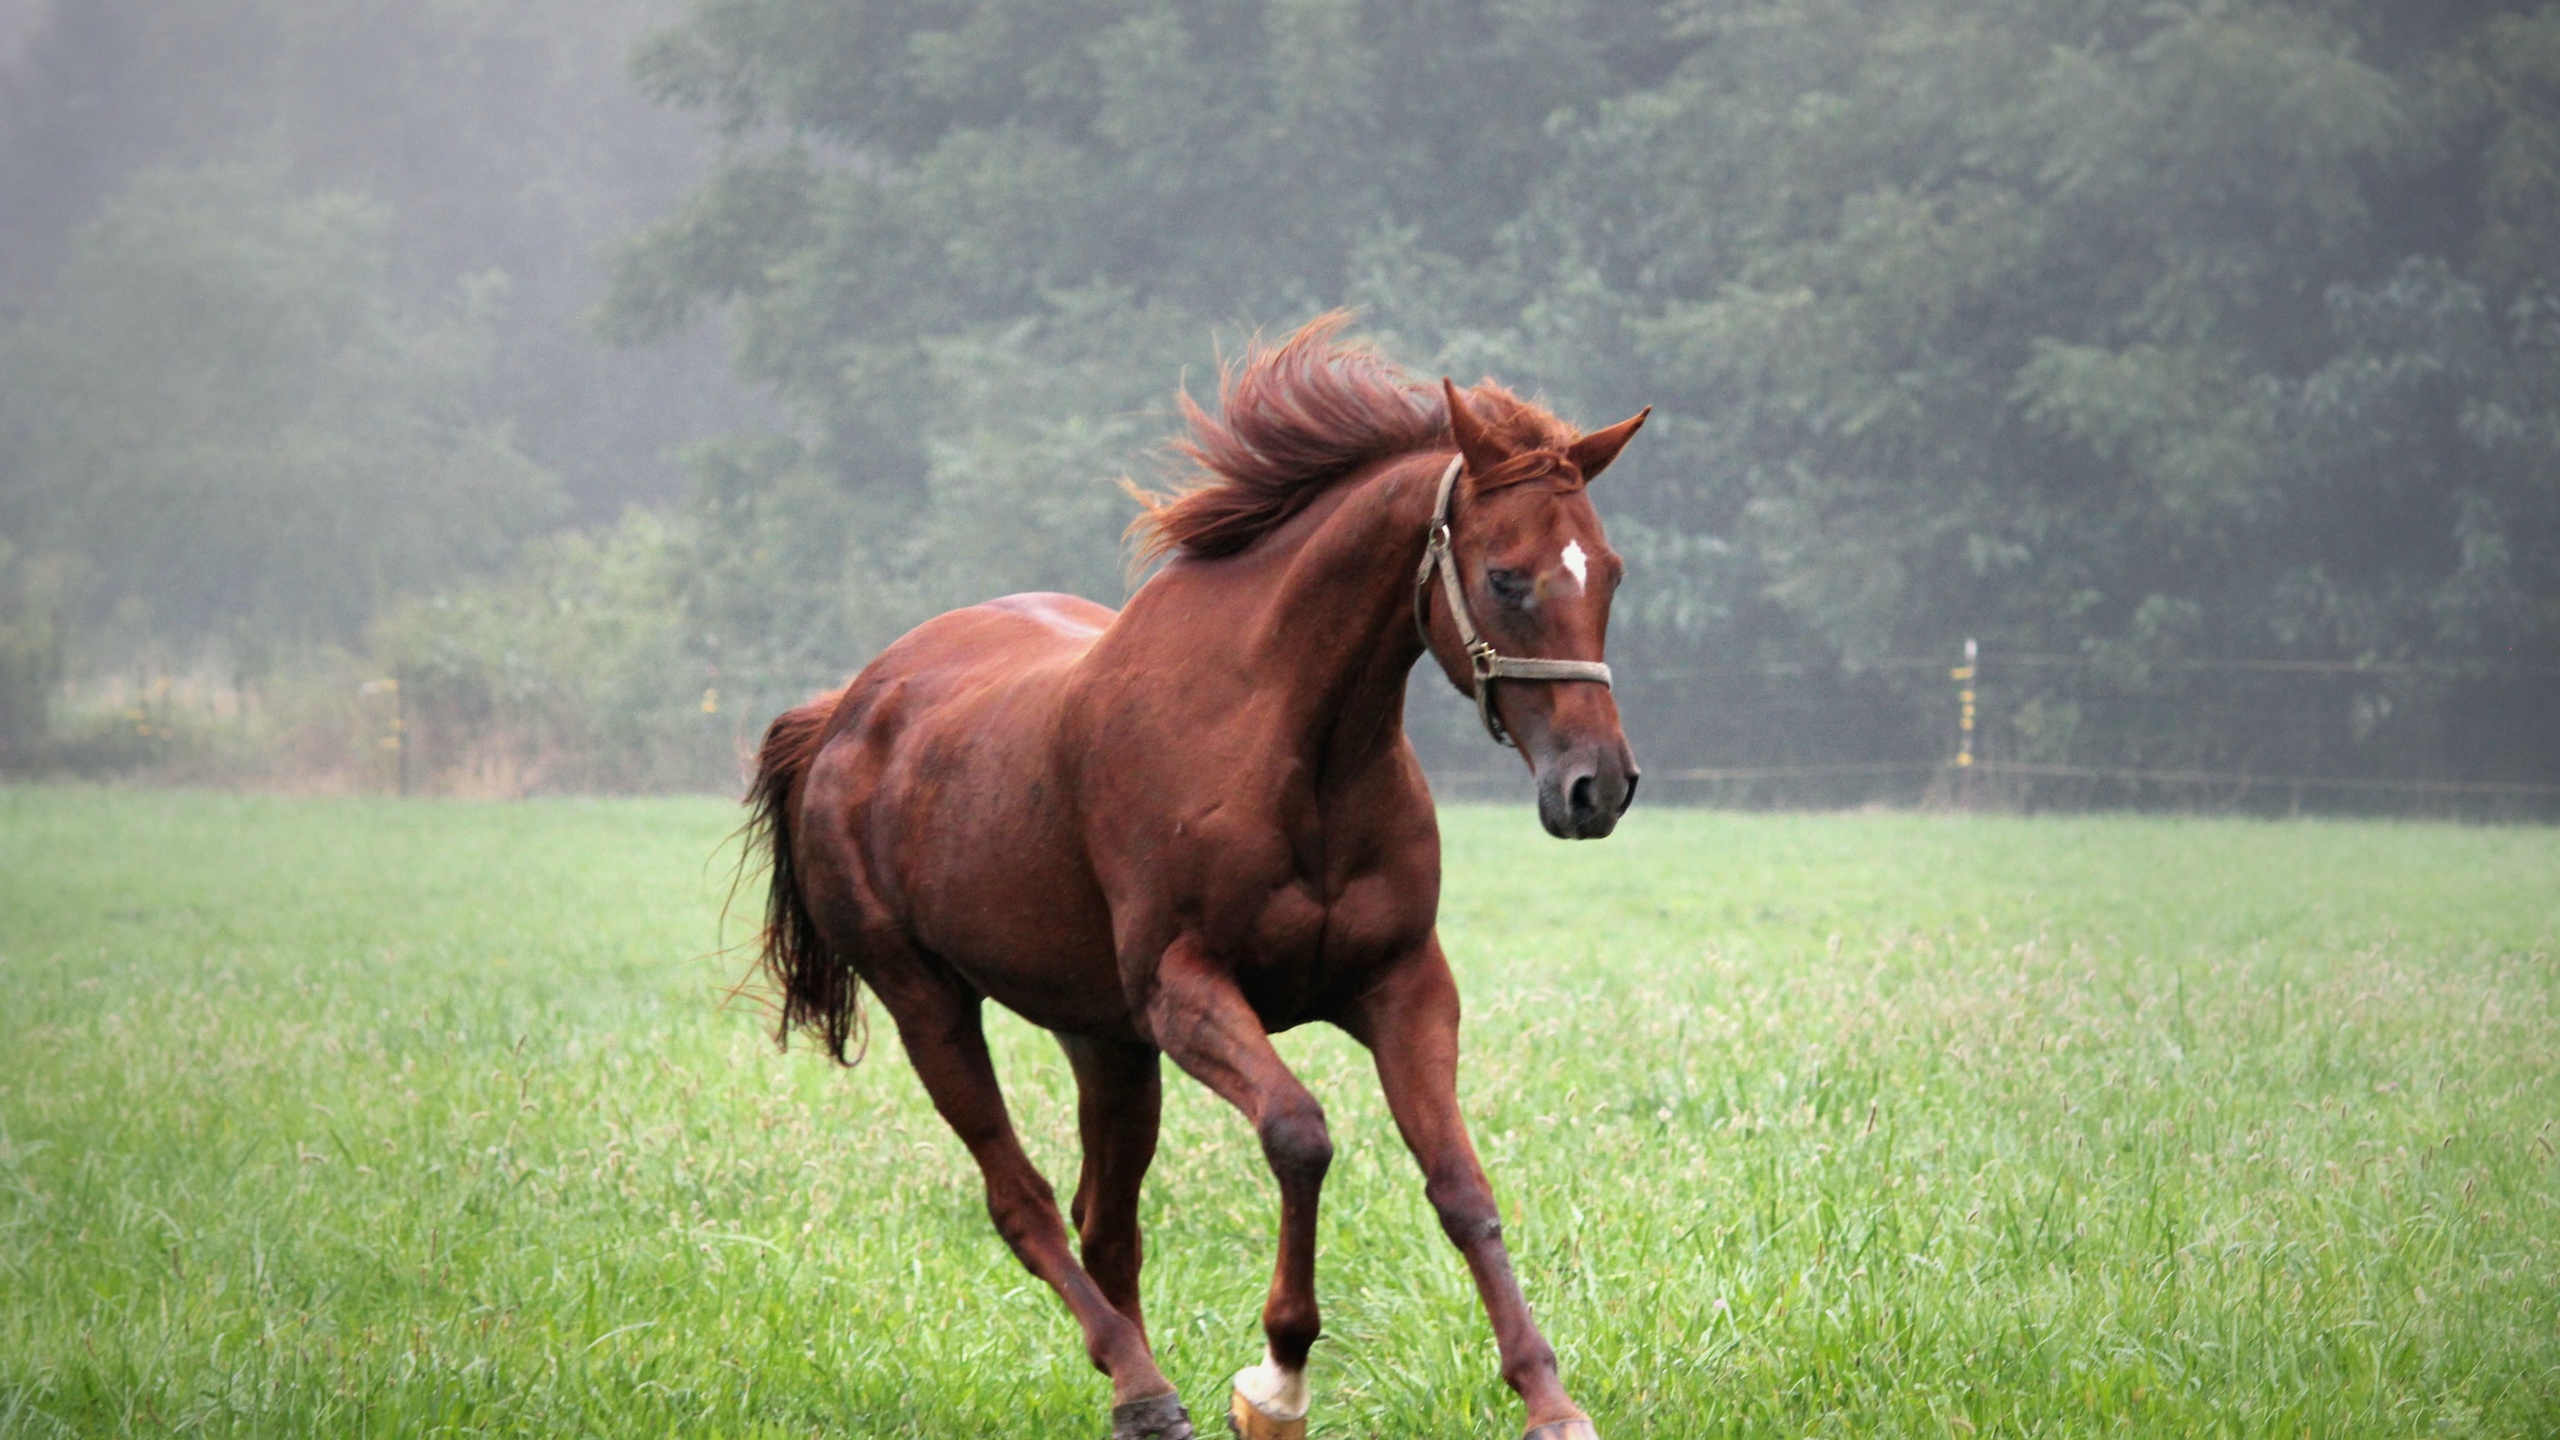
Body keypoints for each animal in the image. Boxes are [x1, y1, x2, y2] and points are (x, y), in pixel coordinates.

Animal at [747, 316, 1638, 1434]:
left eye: (1609, 573)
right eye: (1510, 577)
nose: (1597, 789)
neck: (1292, 747)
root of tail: (846, 712)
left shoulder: (1402, 985)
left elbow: (1459, 1184)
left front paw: (1547, 1398)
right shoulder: (1187, 995)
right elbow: (1300, 1135)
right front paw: (1277, 1378)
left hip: (1104, 1041)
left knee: (1104, 1220)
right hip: (928, 1005)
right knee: (1024, 1202)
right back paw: (1143, 1385)